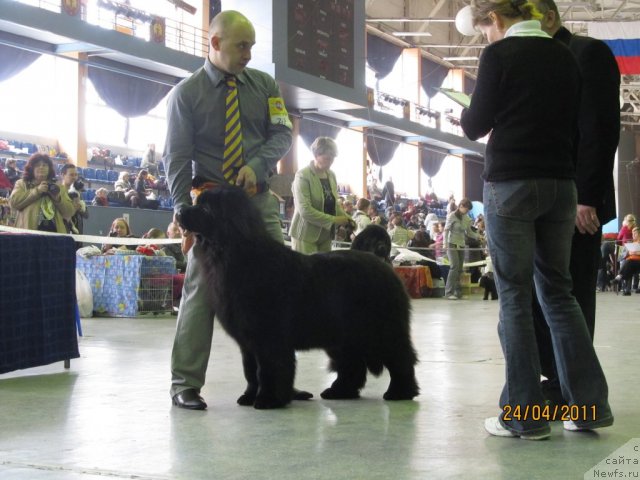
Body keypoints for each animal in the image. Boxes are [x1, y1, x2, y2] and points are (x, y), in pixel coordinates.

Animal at [179, 187, 420, 408]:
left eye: (205, 208)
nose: (180, 210)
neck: (237, 254)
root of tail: (382, 264)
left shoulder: (268, 336)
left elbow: (268, 368)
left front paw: (268, 399)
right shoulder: (247, 340)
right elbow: (250, 371)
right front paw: (249, 396)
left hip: (383, 329)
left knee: (400, 358)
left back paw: (400, 392)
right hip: (343, 335)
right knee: (352, 364)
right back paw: (340, 391)